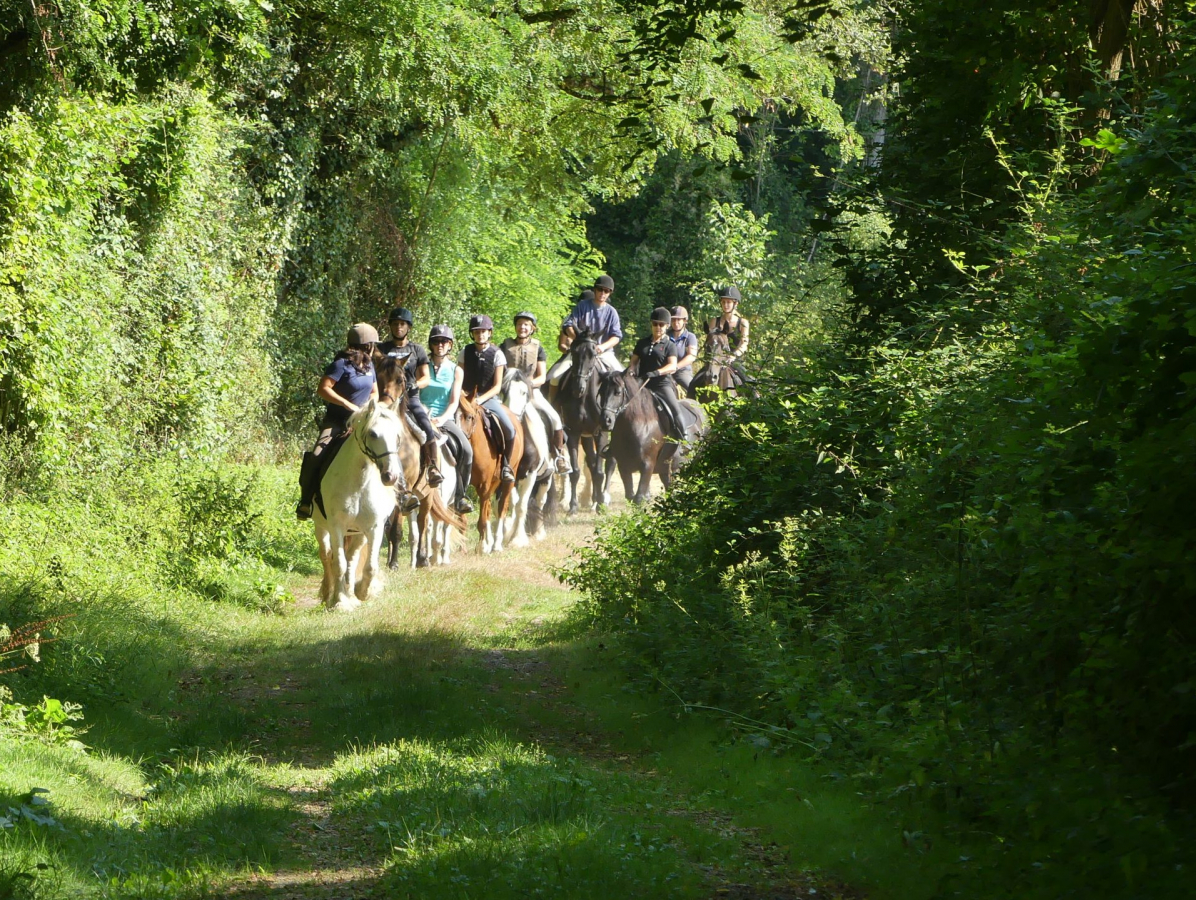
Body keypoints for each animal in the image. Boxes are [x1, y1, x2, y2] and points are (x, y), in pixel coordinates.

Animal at [313, 399, 401, 611]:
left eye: (397, 435)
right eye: (373, 434)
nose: (391, 476)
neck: (358, 483)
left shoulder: (374, 528)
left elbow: (369, 566)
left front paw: (362, 593)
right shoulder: (336, 526)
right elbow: (338, 563)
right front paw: (339, 601)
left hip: (359, 533)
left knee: (352, 558)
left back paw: (350, 593)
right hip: (321, 527)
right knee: (326, 555)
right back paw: (329, 594)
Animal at [373, 353, 466, 568]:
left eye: (401, 380)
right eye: (378, 377)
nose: (384, 406)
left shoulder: (403, 489)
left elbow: (397, 528)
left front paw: (394, 564)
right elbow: (388, 525)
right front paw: (390, 560)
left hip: (429, 493)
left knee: (424, 523)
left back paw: (423, 558)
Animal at [456, 394, 523, 554]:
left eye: (470, 417)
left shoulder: (484, 486)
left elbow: (482, 520)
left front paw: (481, 547)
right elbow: (463, 518)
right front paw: (462, 548)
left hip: (508, 479)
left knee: (501, 508)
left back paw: (496, 545)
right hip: (494, 481)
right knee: (489, 510)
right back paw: (490, 543)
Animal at [507, 365, 557, 547]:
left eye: (524, 392)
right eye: (504, 391)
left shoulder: (530, 474)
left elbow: (522, 506)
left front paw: (517, 539)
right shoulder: (511, 475)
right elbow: (514, 504)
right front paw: (509, 535)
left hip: (546, 477)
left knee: (540, 502)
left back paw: (539, 533)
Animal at [595, 368, 703, 501]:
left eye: (618, 392)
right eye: (601, 392)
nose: (606, 421)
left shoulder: (647, 466)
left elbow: (639, 497)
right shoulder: (624, 467)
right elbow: (630, 496)